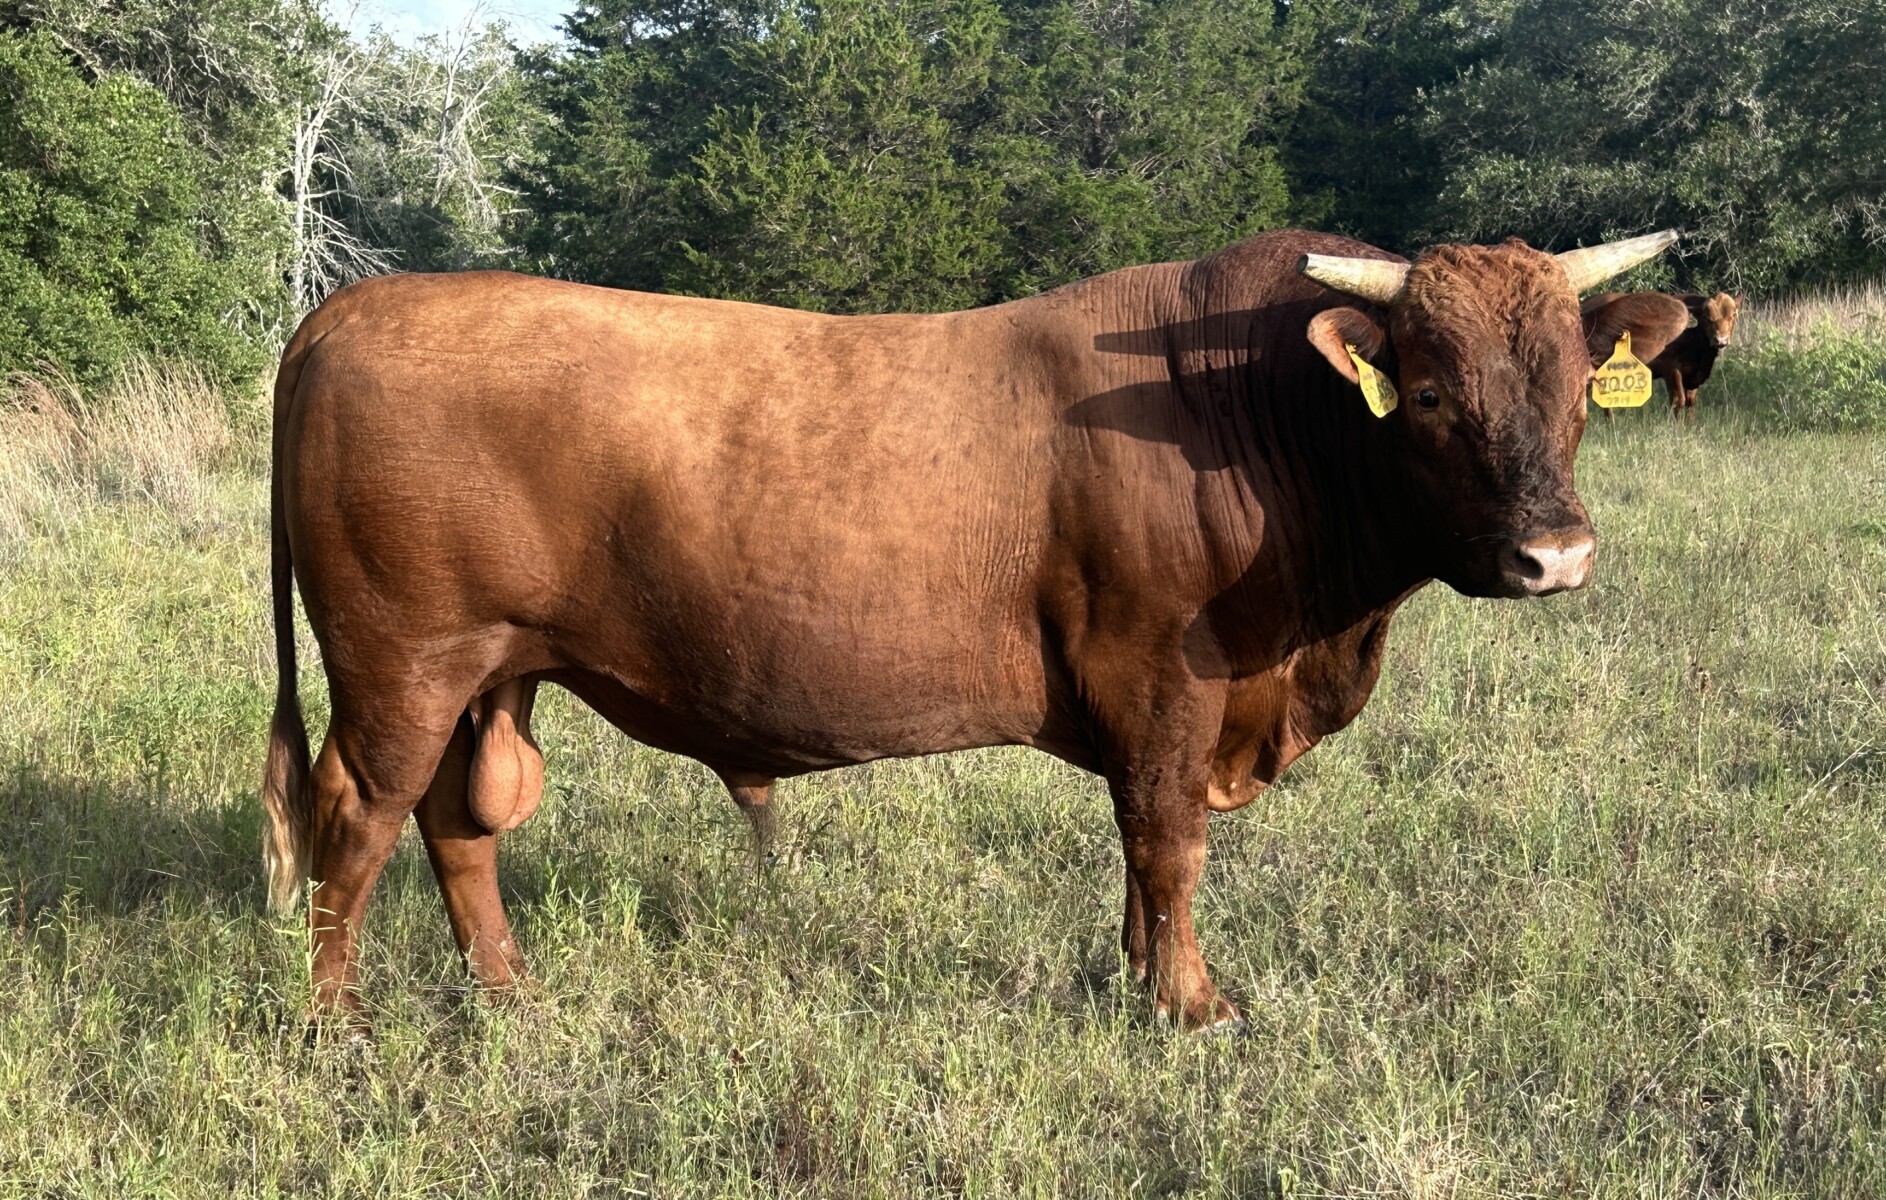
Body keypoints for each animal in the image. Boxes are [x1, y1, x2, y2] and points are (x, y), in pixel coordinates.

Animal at [262, 229, 1689, 1032]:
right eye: (1430, 392)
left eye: (1576, 382)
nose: (1554, 556)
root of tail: (351, 307)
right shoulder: (1161, 678)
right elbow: (1167, 846)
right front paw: (1192, 1008)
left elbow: (1138, 859)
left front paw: (1135, 983)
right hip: (401, 663)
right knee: (356, 818)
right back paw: (335, 1029)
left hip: (493, 671)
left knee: (459, 824)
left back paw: (507, 997)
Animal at [1582, 290, 1741, 420]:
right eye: (1707, 317)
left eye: (1733, 315)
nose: (1721, 340)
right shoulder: (1671, 369)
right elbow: (1678, 400)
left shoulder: (1692, 378)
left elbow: (1690, 402)